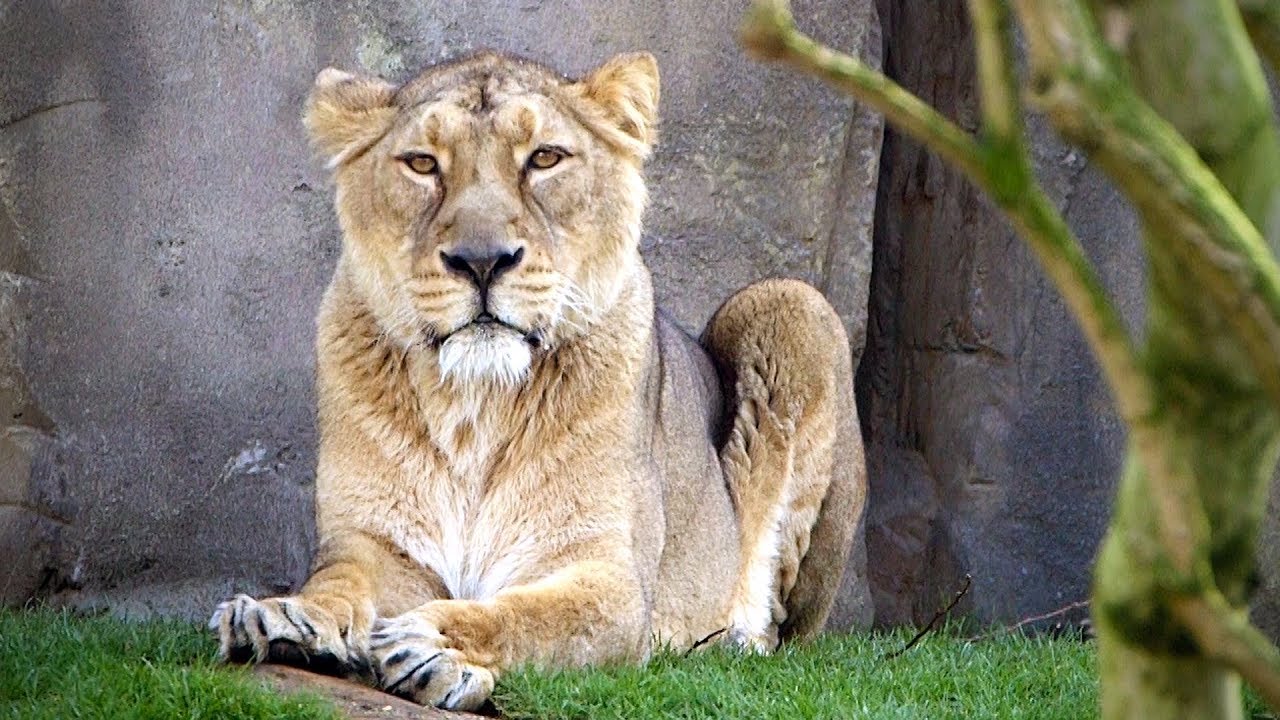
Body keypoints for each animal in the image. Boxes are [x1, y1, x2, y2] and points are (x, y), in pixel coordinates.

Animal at [209, 50, 867, 711]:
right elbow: (339, 579)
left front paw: (436, 646)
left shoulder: (611, 579)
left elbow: (527, 617)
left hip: (788, 303)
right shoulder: (377, 544)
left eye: (544, 158)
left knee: (775, 639)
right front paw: (288, 619)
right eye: (422, 163)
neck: (475, 402)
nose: (481, 261)